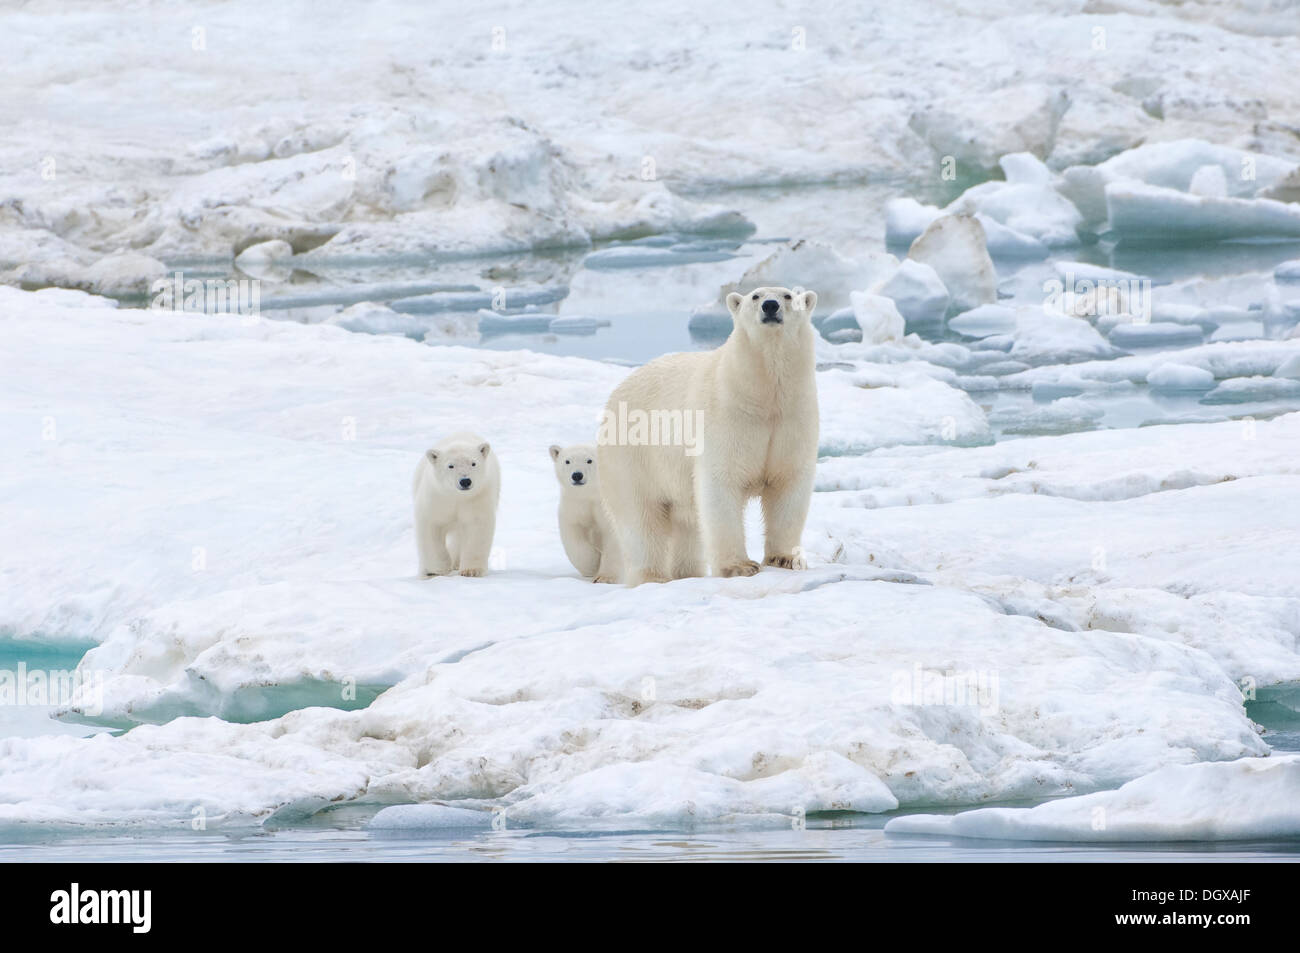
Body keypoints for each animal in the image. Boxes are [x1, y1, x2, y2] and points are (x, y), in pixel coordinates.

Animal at [595, 282, 811, 582]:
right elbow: (722, 483)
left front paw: (785, 558)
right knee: (640, 518)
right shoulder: (727, 417)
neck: (763, 396)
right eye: (755, 296)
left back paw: (688, 573)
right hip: (632, 458)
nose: (770, 306)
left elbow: (788, 483)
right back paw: (653, 575)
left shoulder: (792, 418)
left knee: (685, 524)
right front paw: (739, 566)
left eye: (788, 296)